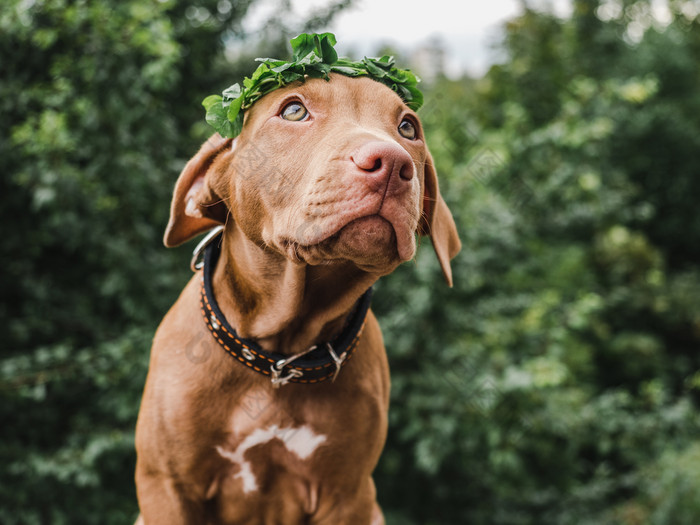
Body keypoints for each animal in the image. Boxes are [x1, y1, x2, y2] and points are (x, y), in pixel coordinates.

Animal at [135, 74, 460, 524]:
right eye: (293, 110)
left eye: (408, 127)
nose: (393, 164)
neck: (280, 355)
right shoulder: (167, 487)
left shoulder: (347, 495)